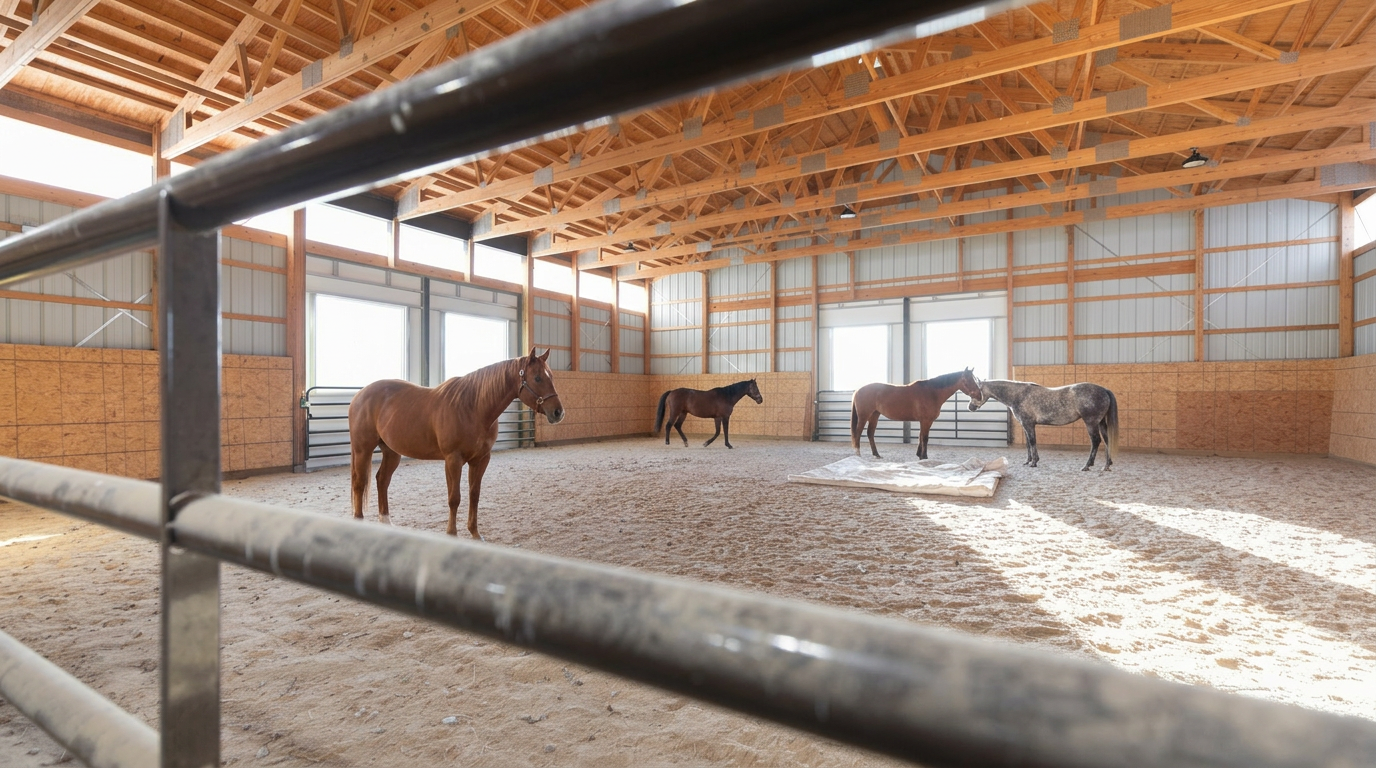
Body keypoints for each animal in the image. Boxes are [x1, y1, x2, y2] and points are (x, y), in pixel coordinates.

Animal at [347, 348, 564, 539]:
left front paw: (475, 533)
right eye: (537, 378)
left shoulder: (481, 460)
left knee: (382, 480)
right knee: (359, 483)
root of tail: (359, 395)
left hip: (392, 452)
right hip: (363, 449)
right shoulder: (453, 459)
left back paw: (386, 521)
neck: (473, 407)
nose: (558, 412)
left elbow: (474, 495)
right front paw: (452, 533)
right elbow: (454, 498)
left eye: (551, 377)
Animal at [850, 368, 982, 460]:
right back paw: (858, 454)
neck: (932, 392)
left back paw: (876, 454)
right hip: (864, 416)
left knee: (870, 433)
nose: (980, 396)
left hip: (874, 415)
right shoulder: (926, 421)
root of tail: (858, 390)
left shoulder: (924, 421)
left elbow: (920, 437)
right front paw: (924, 457)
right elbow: (924, 438)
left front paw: (919, 455)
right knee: (858, 433)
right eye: (968, 380)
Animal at [967, 379, 1117, 471]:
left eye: (974, 391)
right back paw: (1107, 465)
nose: (970, 407)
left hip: (1091, 423)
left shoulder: (1028, 424)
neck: (1018, 395)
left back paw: (1087, 466)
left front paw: (1034, 462)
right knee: (1107, 440)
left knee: (1096, 441)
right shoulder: (1026, 425)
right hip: (1101, 423)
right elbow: (1028, 443)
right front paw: (1028, 461)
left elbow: (1033, 442)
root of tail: (1104, 390)